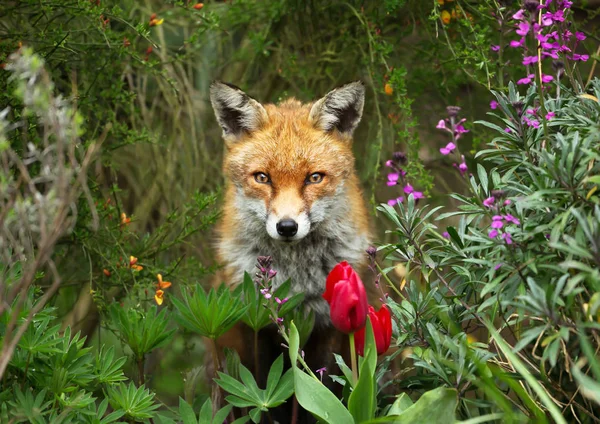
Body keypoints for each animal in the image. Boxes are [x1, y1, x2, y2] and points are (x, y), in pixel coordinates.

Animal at [209, 81, 372, 422]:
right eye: (262, 177)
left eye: (314, 178)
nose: (286, 227)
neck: (294, 280)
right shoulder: (252, 326)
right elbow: (255, 388)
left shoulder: (329, 327)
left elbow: (324, 394)